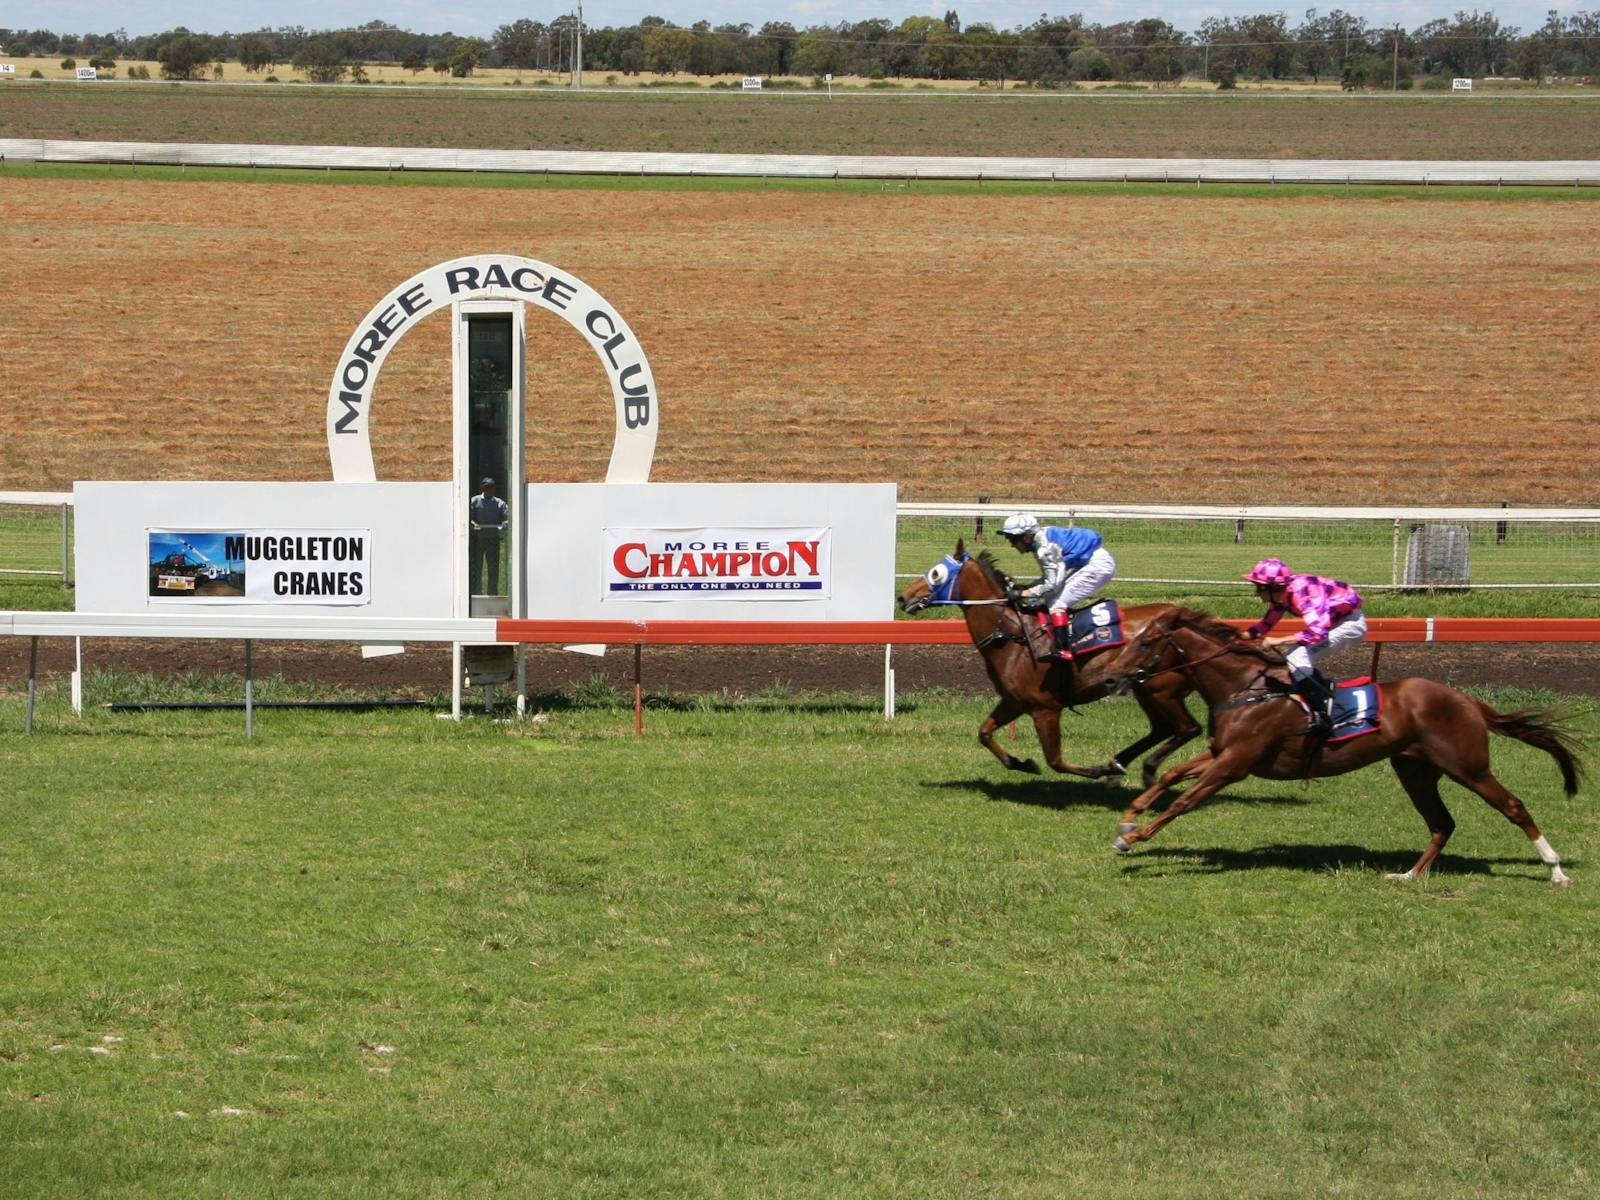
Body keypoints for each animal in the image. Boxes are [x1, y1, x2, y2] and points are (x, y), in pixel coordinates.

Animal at [896, 544, 1196, 790]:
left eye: (936, 573)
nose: (903, 597)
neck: (1012, 636)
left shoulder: (1045, 709)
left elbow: (1055, 761)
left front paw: (1096, 769)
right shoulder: (1014, 701)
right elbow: (984, 733)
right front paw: (1021, 763)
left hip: (1161, 688)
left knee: (1186, 729)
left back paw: (1139, 769)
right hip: (1146, 689)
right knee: (1164, 729)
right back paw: (1122, 764)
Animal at [1100, 611, 1574, 883]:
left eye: (1146, 642)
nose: (1111, 677)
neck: (1246, 688)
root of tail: (1466, 699)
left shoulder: (1235, 763)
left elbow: (1185, 801)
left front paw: (1133, 838)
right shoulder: (1223, 753)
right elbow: (1172, 775)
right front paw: (1128, 818)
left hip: (1468, 766)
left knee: (1513, 806)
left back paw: (1555, 870)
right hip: (1415, 770)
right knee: (1442, 823)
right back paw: (1409, 875)